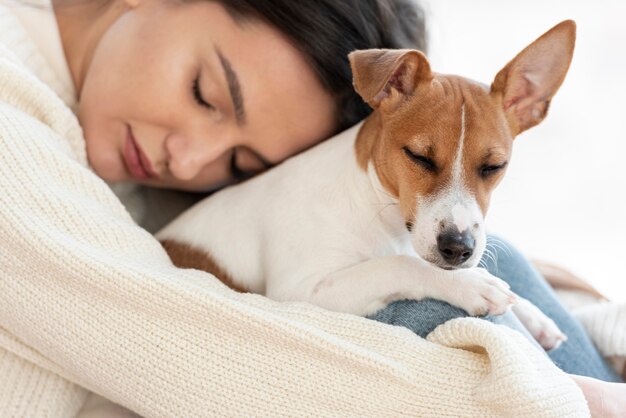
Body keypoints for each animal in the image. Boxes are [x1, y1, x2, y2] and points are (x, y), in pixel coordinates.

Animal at [157, 21, 576, 352]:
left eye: (494, 167)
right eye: (419, 157)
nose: (458, 249)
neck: (372, 205)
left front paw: (532, 313)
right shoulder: (298, 294)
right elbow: (399, 265)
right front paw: (471, 283)